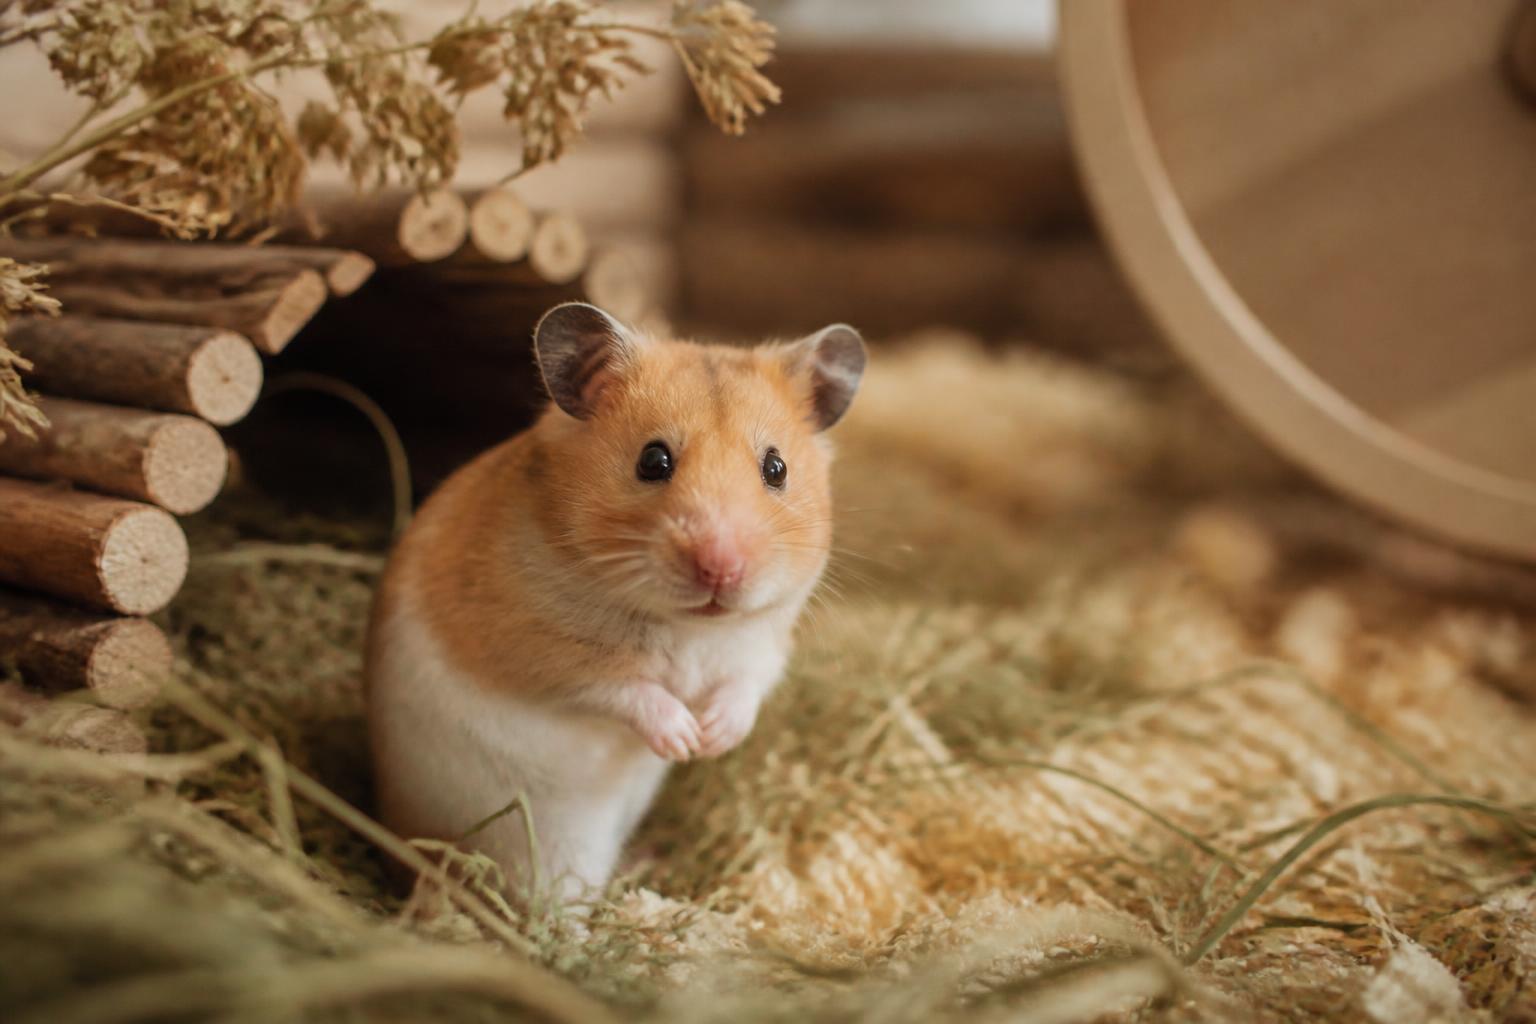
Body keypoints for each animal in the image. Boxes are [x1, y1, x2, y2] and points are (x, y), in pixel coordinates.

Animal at [365, 303, 866, 901]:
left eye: (776, 468)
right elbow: (626, 689)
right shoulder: (538, 650)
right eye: (653, 460)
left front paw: (711, 739)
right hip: (550, 850)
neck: (690, 624)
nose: (722, 568)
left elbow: (745, 688)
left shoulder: (764, 647)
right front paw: (682, 739)